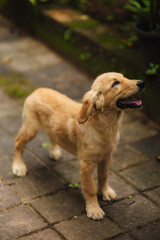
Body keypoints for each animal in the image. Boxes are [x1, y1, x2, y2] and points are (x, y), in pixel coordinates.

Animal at [11, 72, 144, 220]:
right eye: (115, 83)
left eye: (124, 77)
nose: (142, 82)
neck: (105, 125)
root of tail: (37, 90)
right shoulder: (86, 164)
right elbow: (90, 188)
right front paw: (94, 209)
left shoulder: (106, 156)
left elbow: (104, 176)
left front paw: (105, 192)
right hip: (31, 129)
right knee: (18, 142)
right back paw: (18, 166)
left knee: (52, 135)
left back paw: (54, 152)